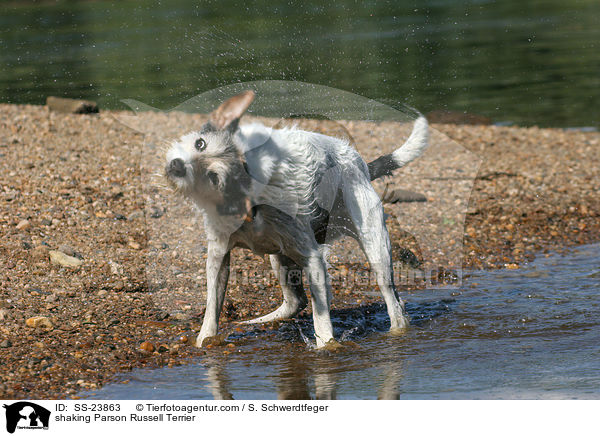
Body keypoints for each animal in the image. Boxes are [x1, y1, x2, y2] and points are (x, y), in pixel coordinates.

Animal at [164, 91, 426, 348]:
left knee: (393, 304)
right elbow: (212, 305)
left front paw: (327, 346)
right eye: (200, 143)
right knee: (296, 300)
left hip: (374, 248)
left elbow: (321, 316)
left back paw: (396, 331)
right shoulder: (219, 253)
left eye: (213, 177)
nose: (176, 165)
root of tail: (361, 164)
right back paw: (256, 321)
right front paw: (204, 340)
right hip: (279, 255)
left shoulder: (313, 259)